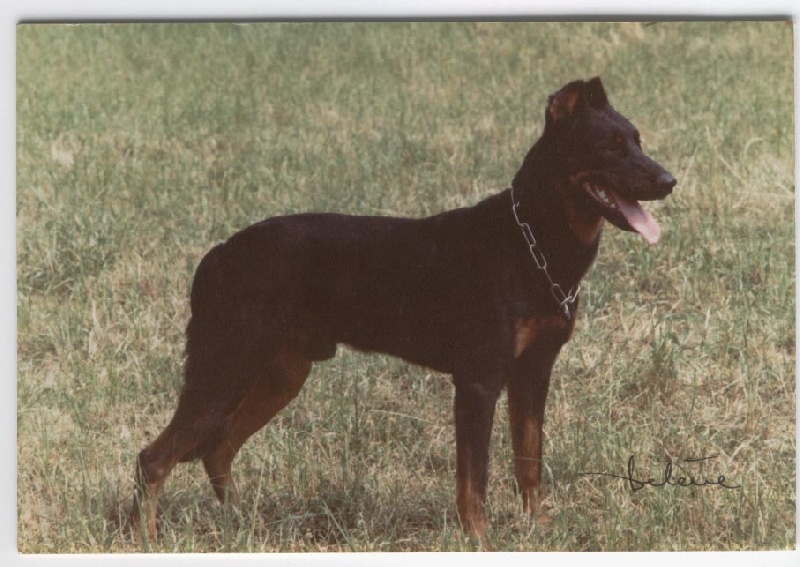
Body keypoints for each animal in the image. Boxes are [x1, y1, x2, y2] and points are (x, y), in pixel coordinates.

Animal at [133, 77, 676, 544]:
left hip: (280, 374)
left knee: (218, 449)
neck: (533, 243)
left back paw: (241, 525)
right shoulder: (479, 383)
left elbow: (529, 462)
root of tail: (217, 256)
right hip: (224, 369)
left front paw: (538, 530)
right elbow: (474, 479)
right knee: (154, 460)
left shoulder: (533, 375)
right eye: (609, 146)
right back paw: (151, 541)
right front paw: (479, 541)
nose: (670, 180)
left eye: (638, 141)